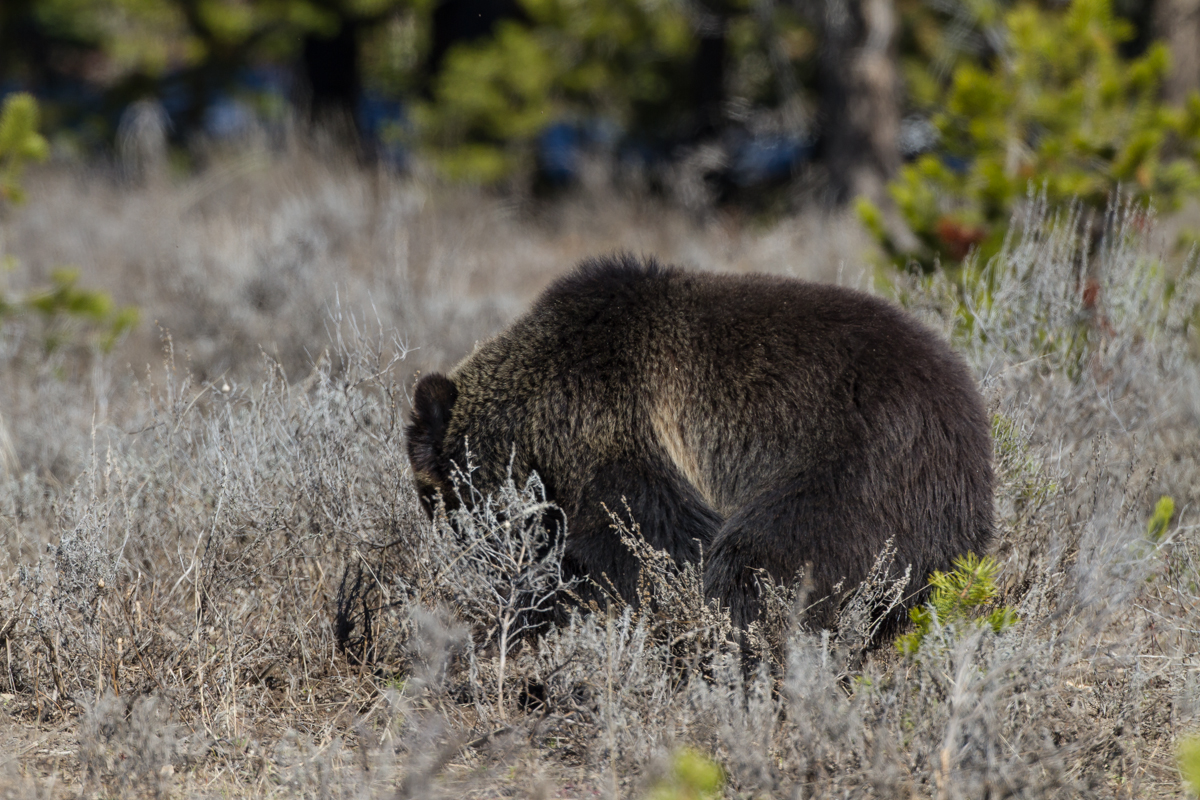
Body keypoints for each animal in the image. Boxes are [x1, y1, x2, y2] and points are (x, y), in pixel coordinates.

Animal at [407, 254, 994, 630]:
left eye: (442, 501)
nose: (458, 555)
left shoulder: (622, 429)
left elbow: (648, 541)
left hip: (852, 468)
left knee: (766, 557)